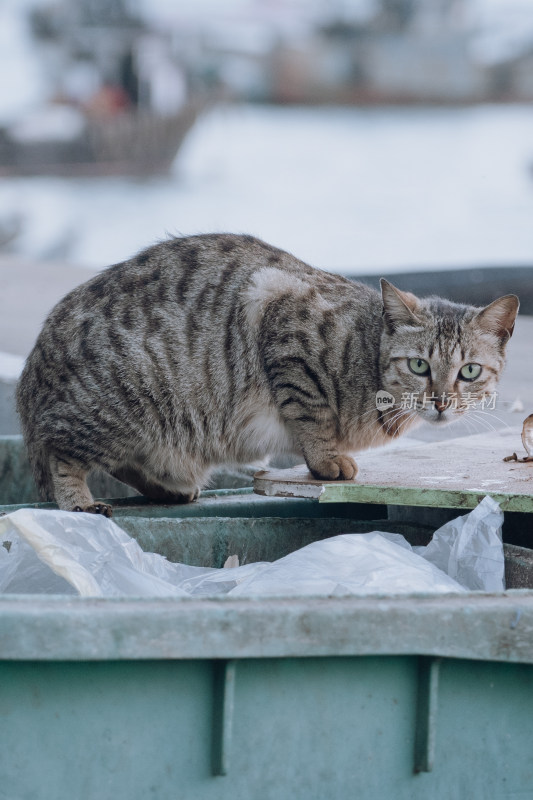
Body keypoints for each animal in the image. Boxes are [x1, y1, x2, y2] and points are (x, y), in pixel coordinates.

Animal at [16, 234, 520, 516]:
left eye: (469, 371)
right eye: (419, 365)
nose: (440, 401)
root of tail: (31, 377)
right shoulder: (283, 321)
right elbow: (311, 411)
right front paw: (326, 458)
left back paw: (169, 487)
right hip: (110, 406)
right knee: (60, 452)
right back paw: (79, 500)